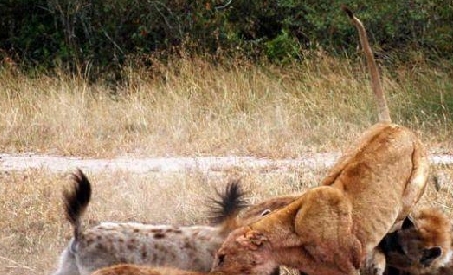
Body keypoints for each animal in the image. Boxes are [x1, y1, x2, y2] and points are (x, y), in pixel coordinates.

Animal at [210, 6, 430, 275]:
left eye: (222, 257)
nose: (209, 271)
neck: (289, 237)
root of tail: (392, 124)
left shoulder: (347, 268)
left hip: (408, 199)